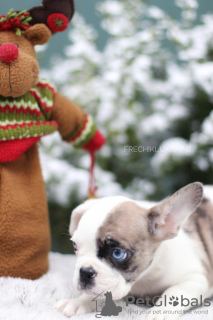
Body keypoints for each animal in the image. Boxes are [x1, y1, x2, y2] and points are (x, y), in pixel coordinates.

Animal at [55, 181, 213, 318]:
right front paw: (78, 302)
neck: (145, 277)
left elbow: (174, 291)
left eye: (118, 253)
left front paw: (157, 312)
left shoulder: (196, 278)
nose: (85, 272)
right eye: (75, 245)